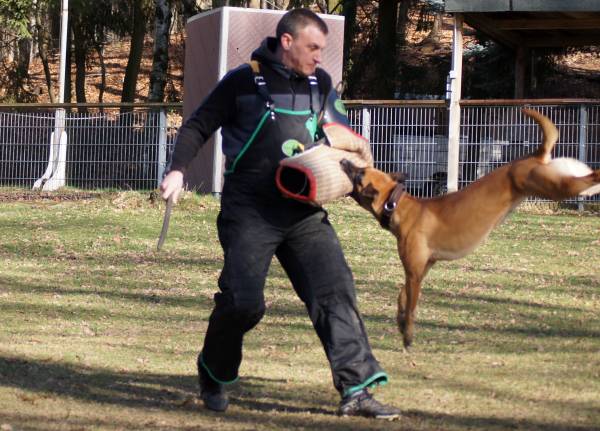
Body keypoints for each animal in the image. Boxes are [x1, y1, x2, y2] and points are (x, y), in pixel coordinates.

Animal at [341, 109, 600, 348]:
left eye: (360, 173)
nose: (343, 161)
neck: (398, 204)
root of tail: (532, 155)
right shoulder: (420, 270)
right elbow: (402, 295)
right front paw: (400, 320)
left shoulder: (414, 273)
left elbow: (411, 305)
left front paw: (408, 335)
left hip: (552, 186)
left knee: (591, 176)